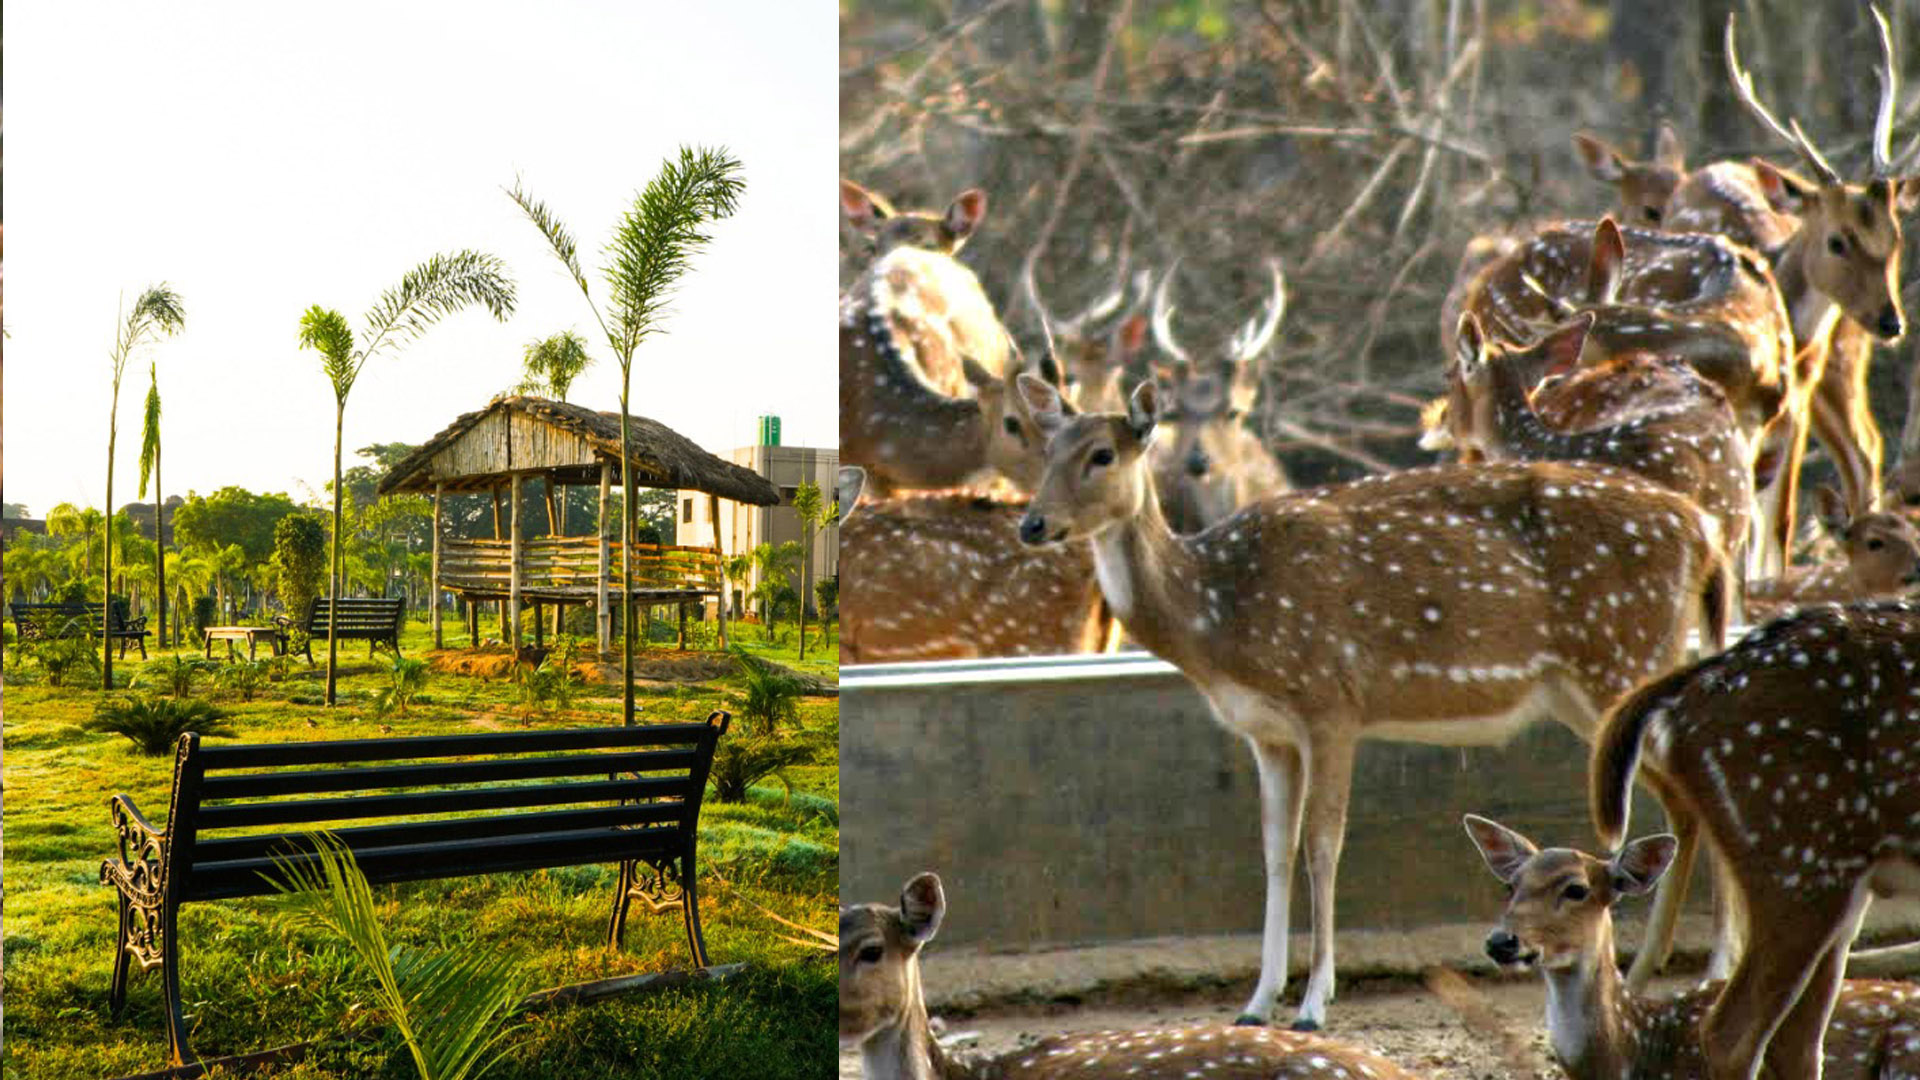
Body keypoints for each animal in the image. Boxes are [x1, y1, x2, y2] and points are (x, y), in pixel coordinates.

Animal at [1012, 373, 1732, 1031]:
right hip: (1593, 686)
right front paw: (1255, 1003)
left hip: (1622, 656)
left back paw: (1690, 969)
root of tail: (1707, 535)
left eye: (1102, 454)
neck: (1216, 619)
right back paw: (1669, 967)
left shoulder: (1331, 702)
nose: (1032, 522)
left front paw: (1312, 1005)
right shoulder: (1265, 731)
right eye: (1046, 447)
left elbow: (1323, 845)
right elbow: (1274, 849)